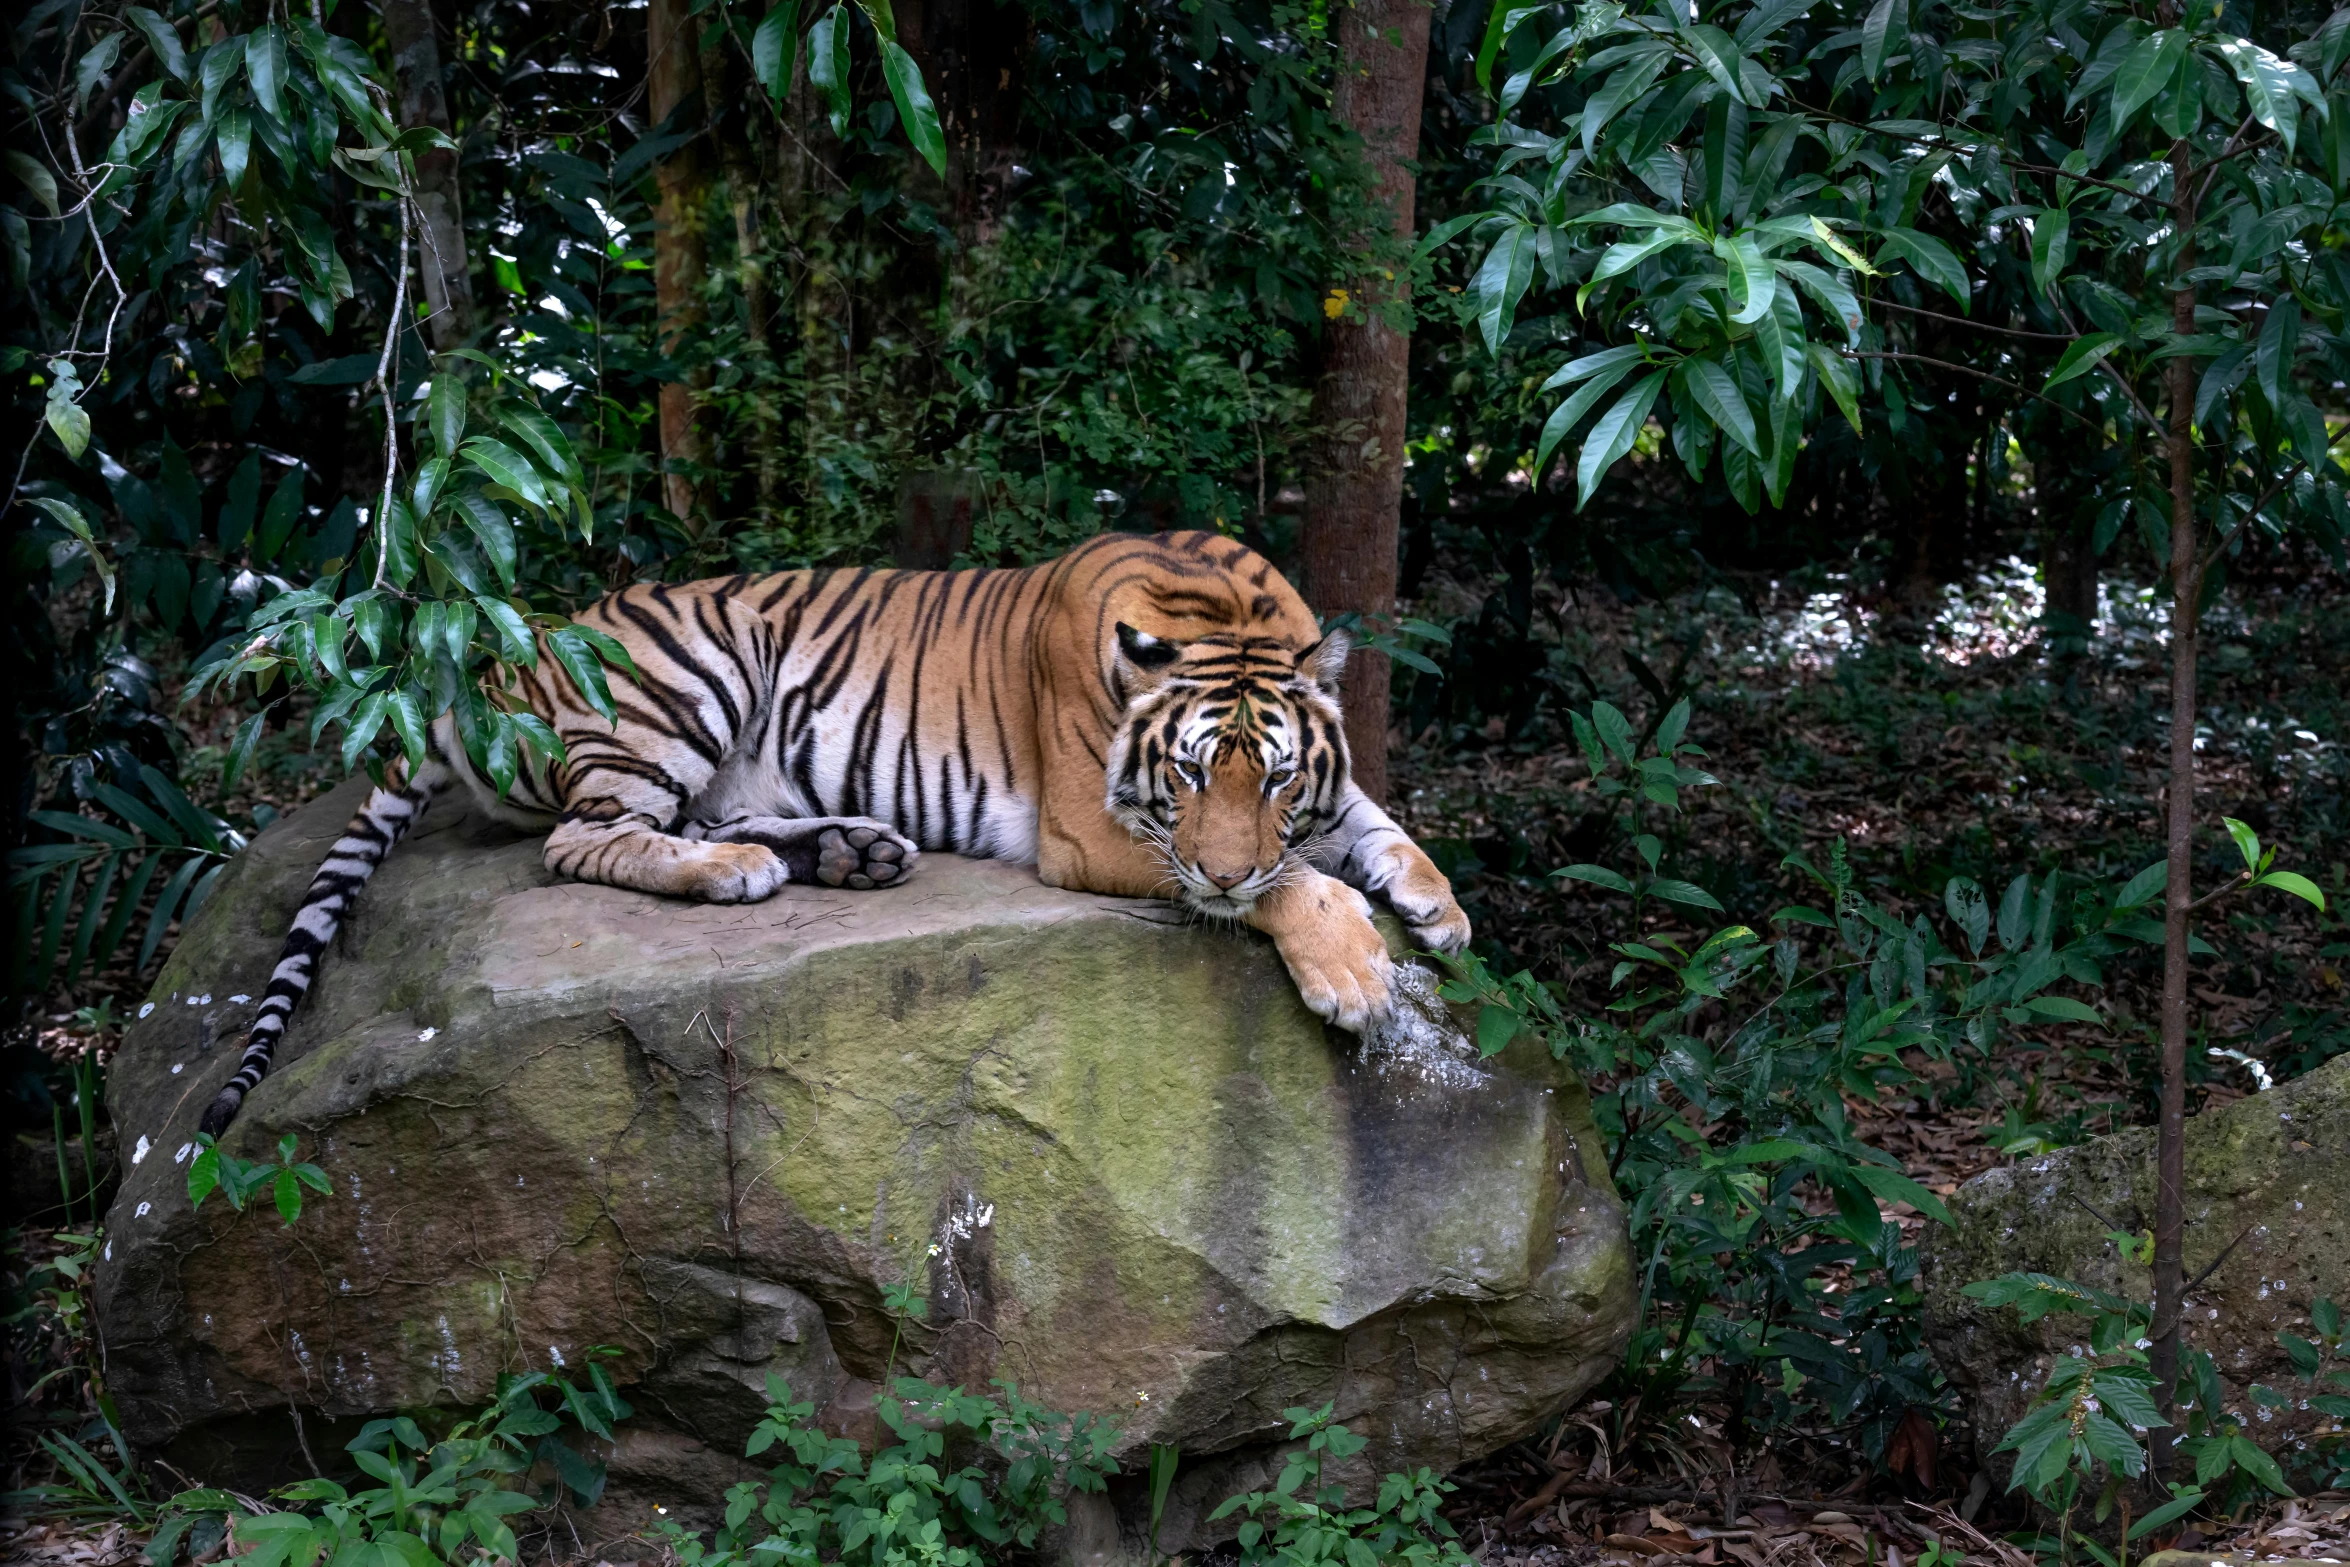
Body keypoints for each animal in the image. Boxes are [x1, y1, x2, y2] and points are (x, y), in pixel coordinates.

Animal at [192, 533, 1466, 1132]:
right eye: (1191, 774)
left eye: (1278, 776)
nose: (1224, 855)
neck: (1221, 611)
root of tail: (516, 648)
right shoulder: (1093, 832)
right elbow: (1286, 881)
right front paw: (1354, 970)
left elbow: (1367, 824)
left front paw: (1436, 906)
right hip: (693, 669)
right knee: (585, 841)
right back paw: (738, 874)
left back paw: (852, 849)